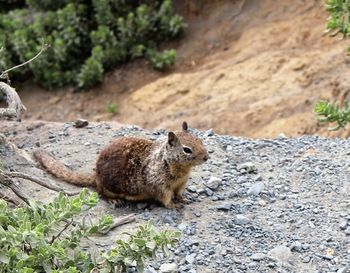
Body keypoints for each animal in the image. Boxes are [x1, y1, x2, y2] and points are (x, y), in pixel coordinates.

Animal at [33, 121, 208, 206]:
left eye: (200, 140)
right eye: (187, 150)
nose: (207, 157)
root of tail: (95, 175)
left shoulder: (180, 184)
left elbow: (178, 194)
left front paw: (183, 199)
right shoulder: (160, 185)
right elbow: (165, 199)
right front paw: (173, 205)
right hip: (108, 187)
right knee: (101, 192)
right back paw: (114, 200)